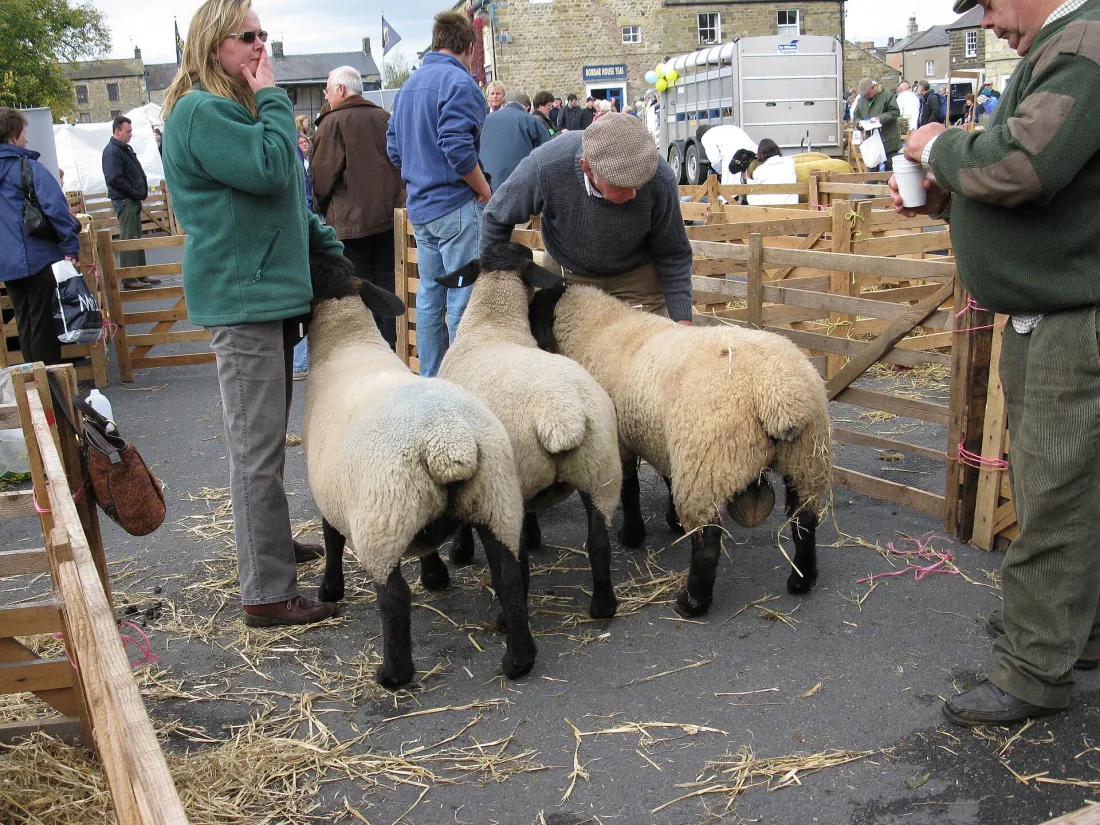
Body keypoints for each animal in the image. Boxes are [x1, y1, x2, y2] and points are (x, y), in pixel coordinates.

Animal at [302, 252, 536, 687]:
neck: (346, 341)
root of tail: (449, 442)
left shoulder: (329, 489)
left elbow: (331, 538)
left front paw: (330, 590)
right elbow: (427, 544)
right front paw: (436, 577)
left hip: (382, 520)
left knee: (394, 597)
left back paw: (393, 674)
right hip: (494, 499)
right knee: (510, 577)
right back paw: (518, 661)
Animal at [434, 242, 622, 620]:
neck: (493, 325)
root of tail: (562, 416)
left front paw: (460, 551)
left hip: (511, 483)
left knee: (515, 564)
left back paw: (506, 617)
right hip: (600, 472)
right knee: (599, 543)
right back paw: (602, 607)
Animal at [528, 283, 832, 618]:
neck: (598, 326)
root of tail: (779, 395)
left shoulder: (620, 440)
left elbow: (630, 489)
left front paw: (632, 535)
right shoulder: (664, 439)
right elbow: (666, 478)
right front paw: (670, 521)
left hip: (707, 462)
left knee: (707, 540)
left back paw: (692, 601)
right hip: (807, 459)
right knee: (805, 519)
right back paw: (802, 580)